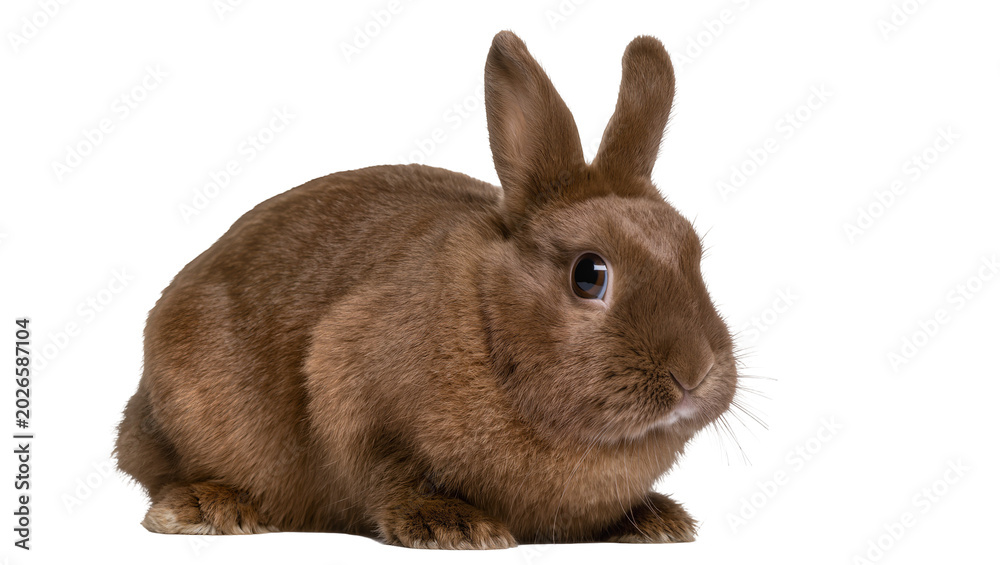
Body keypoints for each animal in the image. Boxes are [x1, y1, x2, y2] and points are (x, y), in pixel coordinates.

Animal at [114, 30, 739, 549]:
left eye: (694, 256)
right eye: (589, 273)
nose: (695, 371)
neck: (490, 323)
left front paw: (658, 521)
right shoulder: (349, 383)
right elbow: (388, 472)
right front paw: (452, 527)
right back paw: (209, 509)